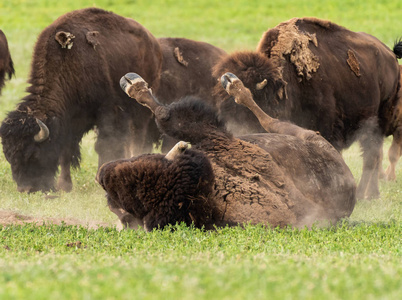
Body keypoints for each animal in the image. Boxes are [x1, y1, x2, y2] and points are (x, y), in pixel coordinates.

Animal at [96, 72, 354, 230]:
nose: (102, 175)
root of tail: (349, 183)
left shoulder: (213, 135)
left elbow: (166, 116)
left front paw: (133, 85)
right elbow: (167, 116)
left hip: (309, 138)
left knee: (270, 121)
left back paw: (233, 84)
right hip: (309, 138)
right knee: (271, 121)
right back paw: (233, 84)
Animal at [212, 16, 400, 199]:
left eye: (243, 113)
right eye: (222, 110)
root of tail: (391, 56)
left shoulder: (327, 129)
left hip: (377, 122)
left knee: (371, 156)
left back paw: (363, 195)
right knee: (374, 156)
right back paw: (373, 194)